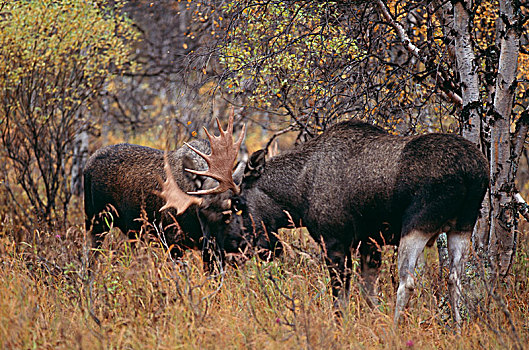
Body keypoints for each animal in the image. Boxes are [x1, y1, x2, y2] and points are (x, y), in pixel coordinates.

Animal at [160, 120, 486, 326]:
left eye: (237, 204)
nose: (225, 246)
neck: (299, 196)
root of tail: (473, 172)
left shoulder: (335, 240)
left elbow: (340, 299)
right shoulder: (370, 243)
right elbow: (369, 295)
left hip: (418, 223)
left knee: (408, 281)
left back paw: (397, 329)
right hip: (463, 225)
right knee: (455, 278)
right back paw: (458, 328)